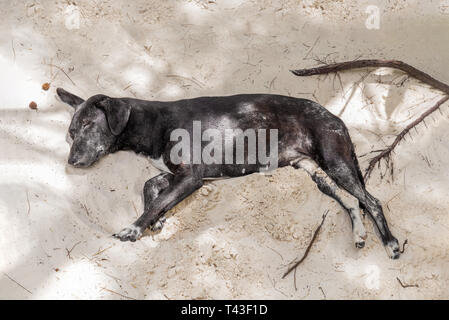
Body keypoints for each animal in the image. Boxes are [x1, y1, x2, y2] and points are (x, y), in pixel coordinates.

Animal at [57, 88, 400, 260]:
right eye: (71, 132)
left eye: (88, 125)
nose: (71, 161)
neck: (152, 121)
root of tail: (335, 117)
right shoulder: (177, 175)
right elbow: (149, 187)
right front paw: (158, 220)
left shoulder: (191, 177)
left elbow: (156, 200)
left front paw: (135, 228)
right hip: (317, 173)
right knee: (351, 201)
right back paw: (359, 234)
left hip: (336, 162)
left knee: (371, 201)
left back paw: (390, 242)